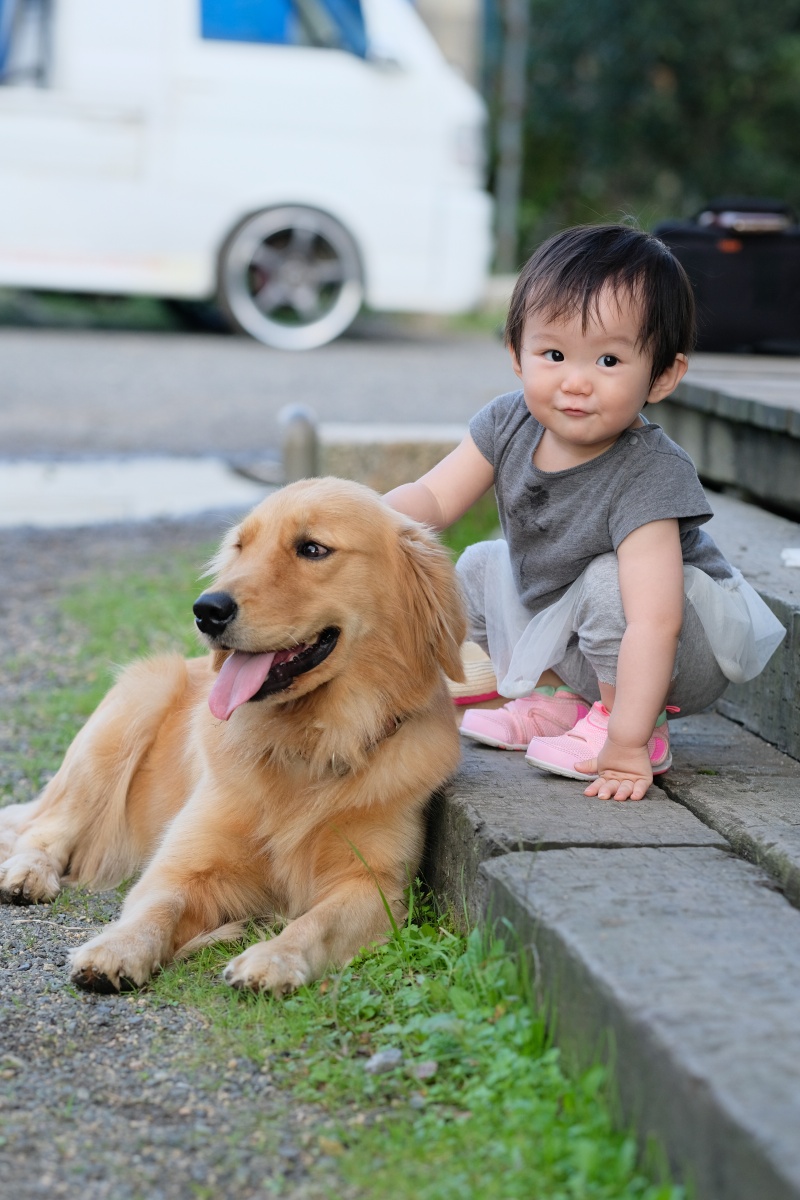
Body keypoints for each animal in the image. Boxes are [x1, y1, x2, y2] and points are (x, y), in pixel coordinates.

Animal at [0, 477, 465, 993]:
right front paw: (117, 949)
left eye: (312, 548)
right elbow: (159, 906)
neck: (307, 744)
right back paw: (28, 873)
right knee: (45, 827)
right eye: (241, 547)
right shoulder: (183, 864)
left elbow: (316, 922)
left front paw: (274, 957)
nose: (206, 609)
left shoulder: (375, 885)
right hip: (128, 714)